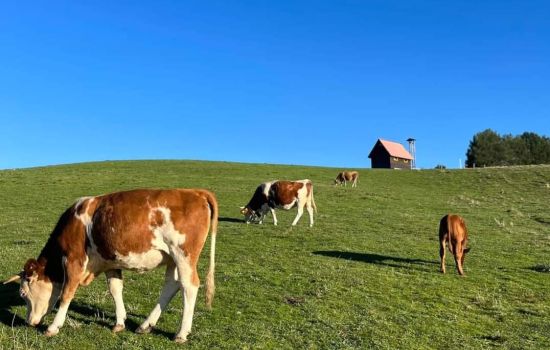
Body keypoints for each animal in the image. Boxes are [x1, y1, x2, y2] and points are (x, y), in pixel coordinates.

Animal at [5, 187, 220, 344]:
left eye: (23, 293)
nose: (28, 322)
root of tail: (194, 191)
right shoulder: (110, 262)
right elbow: (115, 290)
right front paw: (119, 323)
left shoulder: (74, 260)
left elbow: (66, 293)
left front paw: (53, 327)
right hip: (172, 258)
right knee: (171, 285)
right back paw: (145, 325)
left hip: (183, 254)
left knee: (189, 286)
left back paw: (181, 333)